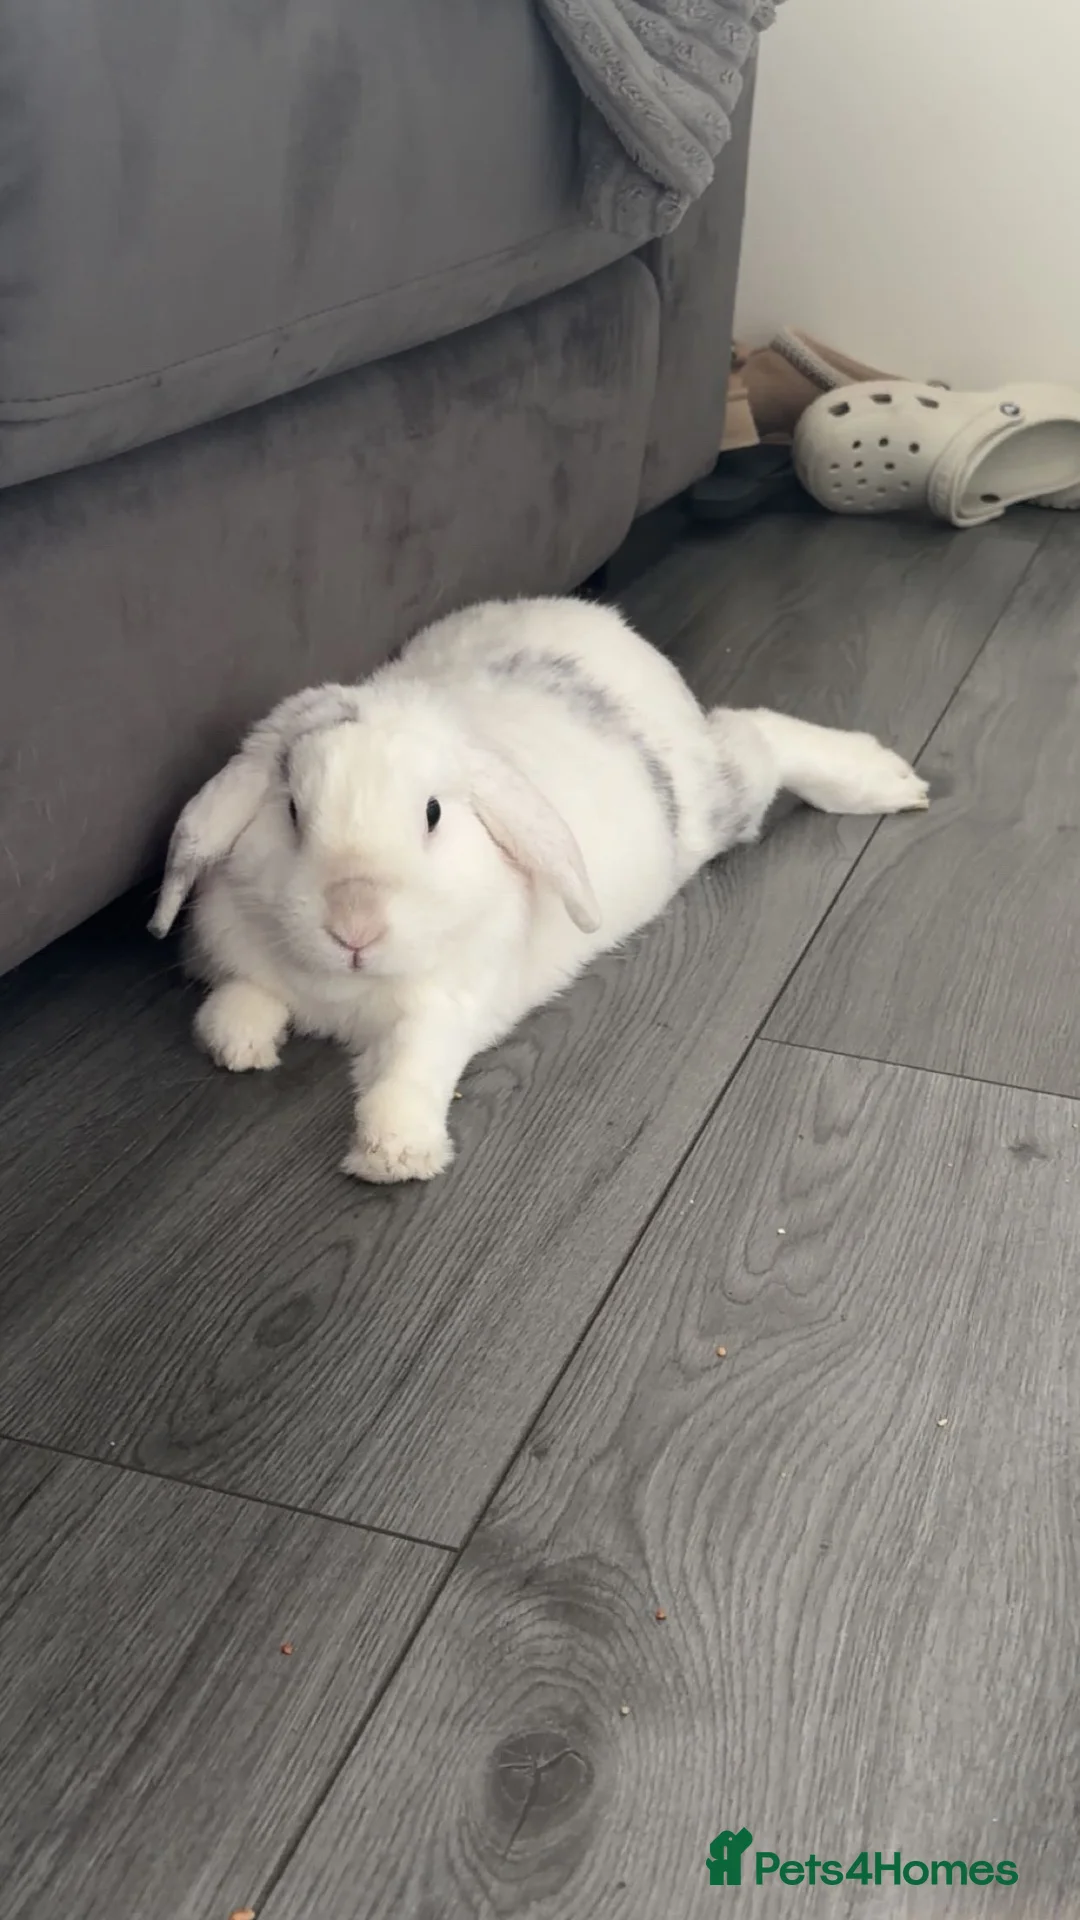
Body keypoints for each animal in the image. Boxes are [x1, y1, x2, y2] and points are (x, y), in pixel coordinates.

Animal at [150, 595, 928, 1183]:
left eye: (432, 813)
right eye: (290, 812)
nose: (355, 926)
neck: (342, 990)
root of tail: (611, 626)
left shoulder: (451, 1002)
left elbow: (413, 1062)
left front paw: (394, 1155)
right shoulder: (237, 955)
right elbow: (238, 998)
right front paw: (241, 1045)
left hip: (715, 803)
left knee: (758, 732)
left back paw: (890, 780)